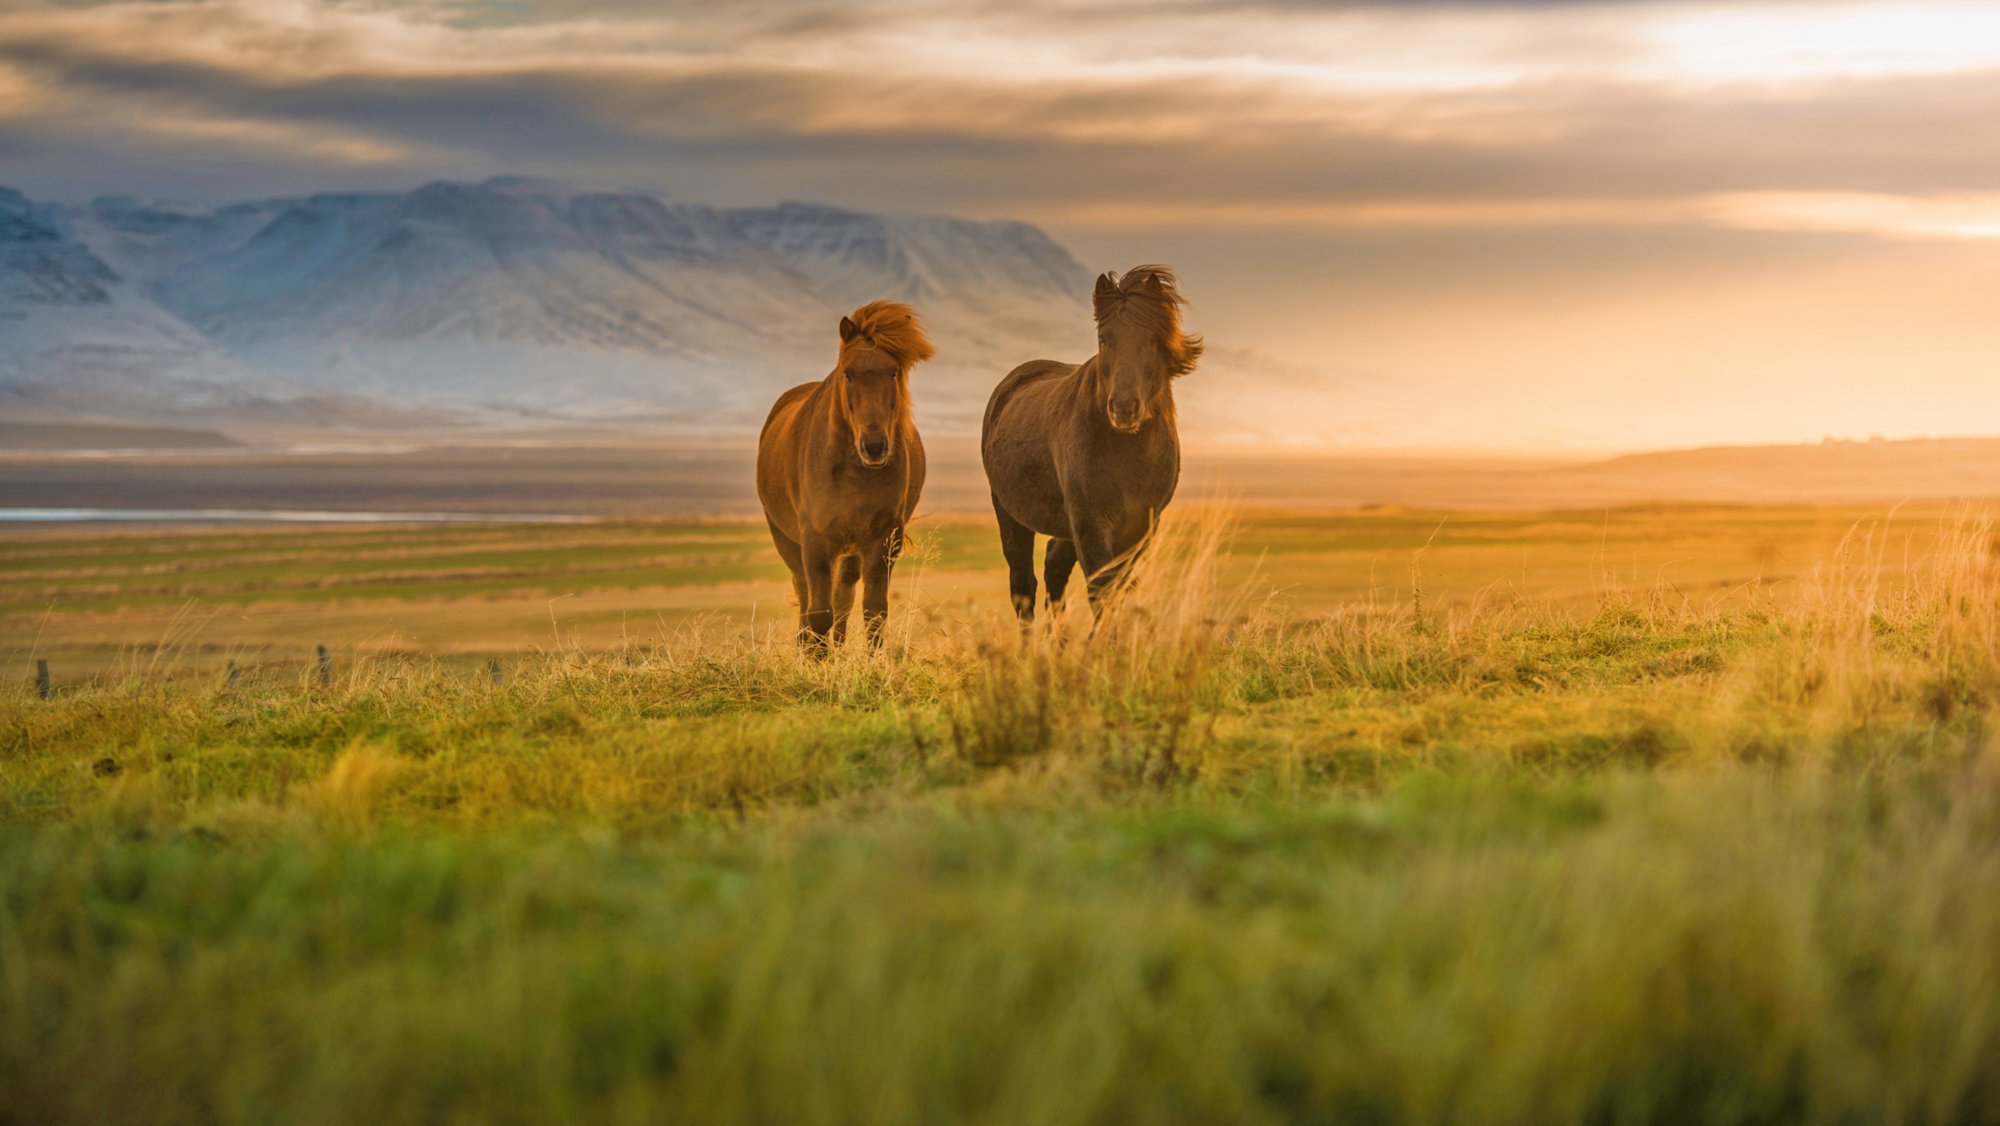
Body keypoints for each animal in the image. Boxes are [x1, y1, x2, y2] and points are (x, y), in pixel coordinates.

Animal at [756, 302, 936, 652]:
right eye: (848, 373)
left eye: (893, 372)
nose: (875, 446)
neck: (855, 474)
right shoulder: (814, 541)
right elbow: (818, 614)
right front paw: (816, 660)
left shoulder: (882, 540)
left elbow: (873, 613)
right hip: (787, 540)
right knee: (805, 596)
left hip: (851, 552)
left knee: (843, 599)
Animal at [980, 266, 1200, 624]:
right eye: (1103, 339)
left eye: (1152, 339)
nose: (1123, 408)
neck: (1127, 454)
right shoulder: (1091, 524)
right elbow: (1102, 592)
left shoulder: (1140, 529)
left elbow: (1116, 592)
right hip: (1010, 514)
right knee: (1024, 586)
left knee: (1054, 567)